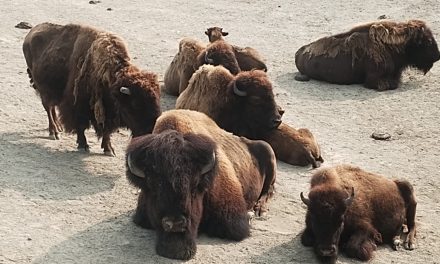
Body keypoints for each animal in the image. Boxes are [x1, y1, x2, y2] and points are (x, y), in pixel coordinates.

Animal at [23, 22, 161, 156]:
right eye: (136, 104)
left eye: (157, 101)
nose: (150, 131)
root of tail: (29, 35)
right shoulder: (77, 106)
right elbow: (81, 126)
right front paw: (83, 145)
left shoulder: (105, 112)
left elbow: (106, 130)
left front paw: (109, 149)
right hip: (43, 90)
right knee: (48, 108)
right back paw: (54, 132)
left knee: (51, 108)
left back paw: (59, 127)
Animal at [124, 109, 276, 260]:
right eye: (153, 188)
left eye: (194, 188)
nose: (175, 224)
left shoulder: (234, 218)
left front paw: (250, 216)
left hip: (269, 153)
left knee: (269, 190)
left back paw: (259, 210)